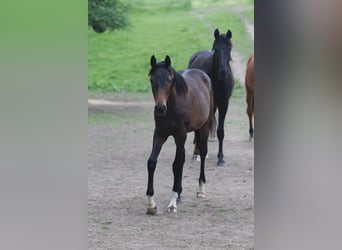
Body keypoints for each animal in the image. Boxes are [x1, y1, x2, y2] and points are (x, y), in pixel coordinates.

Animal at [146, 54, 214, 215]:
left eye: (169, 80)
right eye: (152, 80)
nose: (160, 108)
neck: (171, 107)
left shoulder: (180, 135)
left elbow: (176, 165)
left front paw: (172, 203)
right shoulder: (159, 134)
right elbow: (152, 162)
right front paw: (151, 204)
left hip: (203, 128)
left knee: (202, 154)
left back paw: (201, 190)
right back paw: (180, 194)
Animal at [188, 28, 234, 167]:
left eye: (229, 48)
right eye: (216, 49)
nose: (223, 72)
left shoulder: (224, 103)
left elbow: (220, 131)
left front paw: (221, 159)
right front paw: (197, 154)